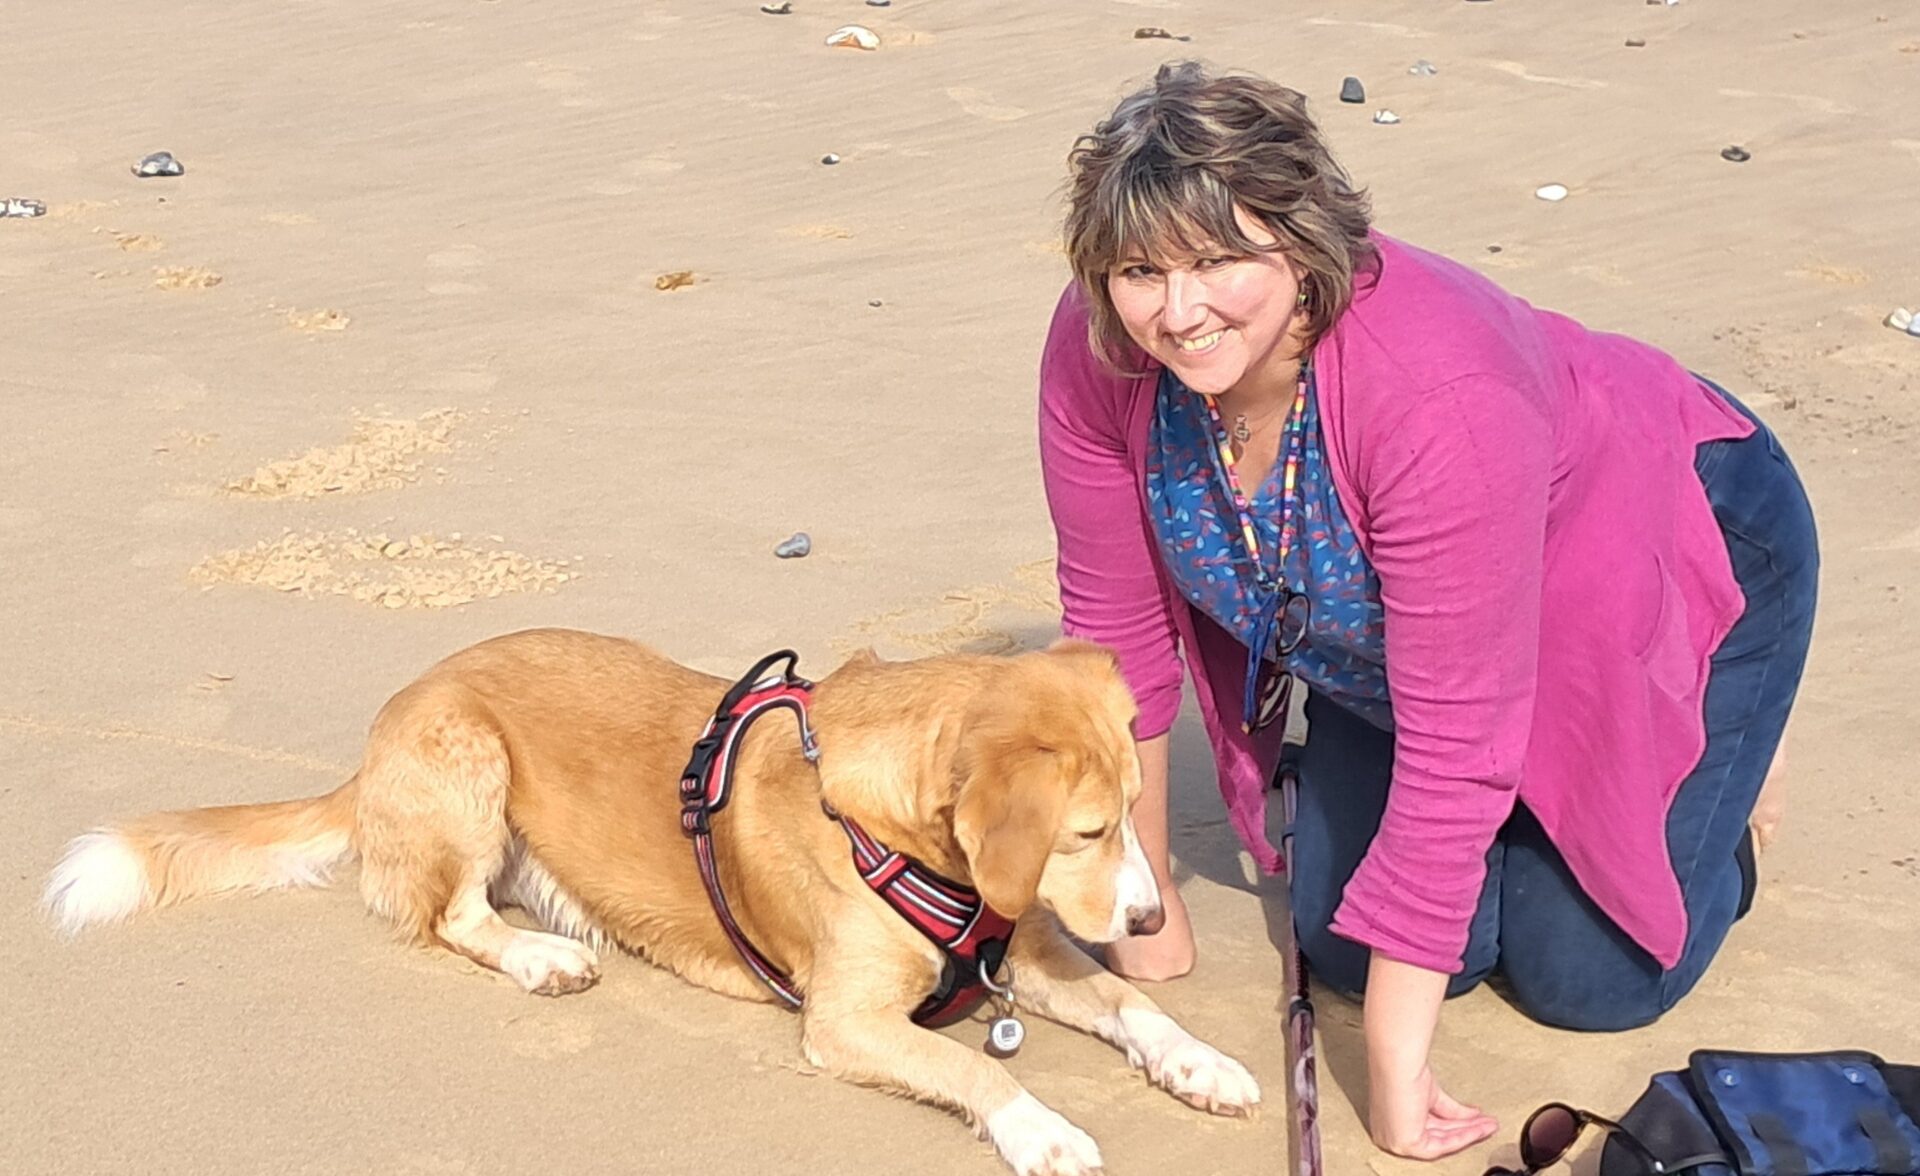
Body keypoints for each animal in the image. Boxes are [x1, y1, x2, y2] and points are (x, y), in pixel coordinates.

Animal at [41, 630, 1259, 1176]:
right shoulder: (844, 1023)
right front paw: (1044, 1127)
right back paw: (541, 957)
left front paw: (1202, 1062)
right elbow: (975, 1068)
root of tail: (389, 723)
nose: (1150, 923)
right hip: (468, 761)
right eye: (1086, 833)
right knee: (450, 918)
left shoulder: (1034, 957)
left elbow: (1134, 1009)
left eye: (1132, 815)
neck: (886, 821)